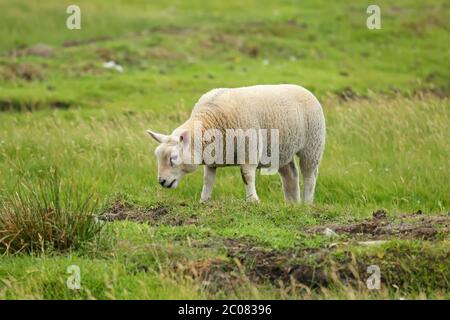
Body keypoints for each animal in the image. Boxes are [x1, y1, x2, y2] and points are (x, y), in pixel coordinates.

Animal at [148, 84, 326, 202]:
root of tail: (302, 88)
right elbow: (208, 179)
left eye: (173, 158)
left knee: (309, 175)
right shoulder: (212, 158)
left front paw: (253, 201)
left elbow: (247, 176)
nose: (161, 181)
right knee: (290, 175)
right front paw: (204, 200)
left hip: (313, 144)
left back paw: (306, 203)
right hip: (282, 149)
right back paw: (292, 204)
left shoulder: (249, 150)